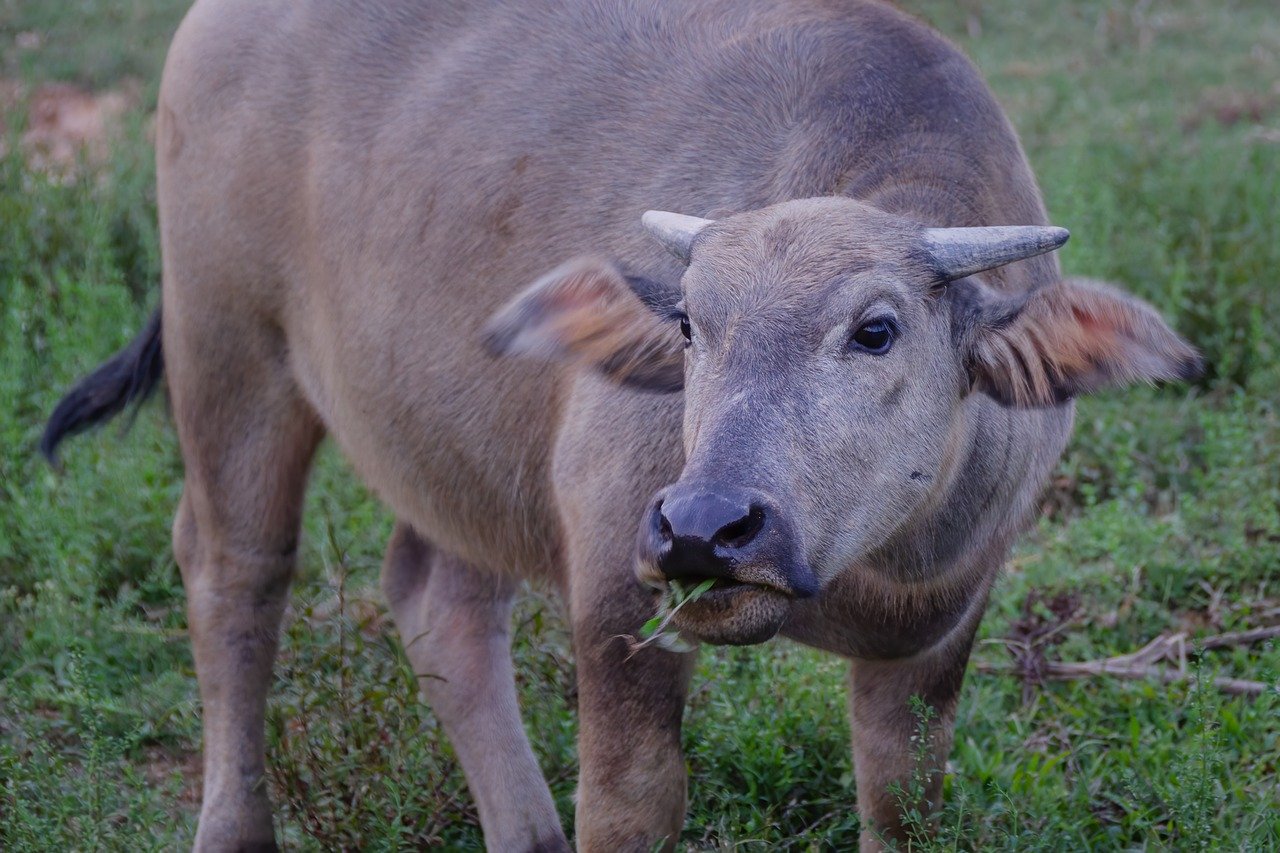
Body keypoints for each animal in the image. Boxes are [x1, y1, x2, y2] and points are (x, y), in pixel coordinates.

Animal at [42, 0, 1198, 845]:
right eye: (690, 323)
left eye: (876, 328)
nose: (703, 529)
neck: (855, 568)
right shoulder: (611, 583)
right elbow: (633, 803)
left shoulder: (940, 634)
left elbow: (900, 800)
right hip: (228, 342)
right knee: (235, 573)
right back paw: (236, 823)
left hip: (456, 437)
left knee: (438, 599)